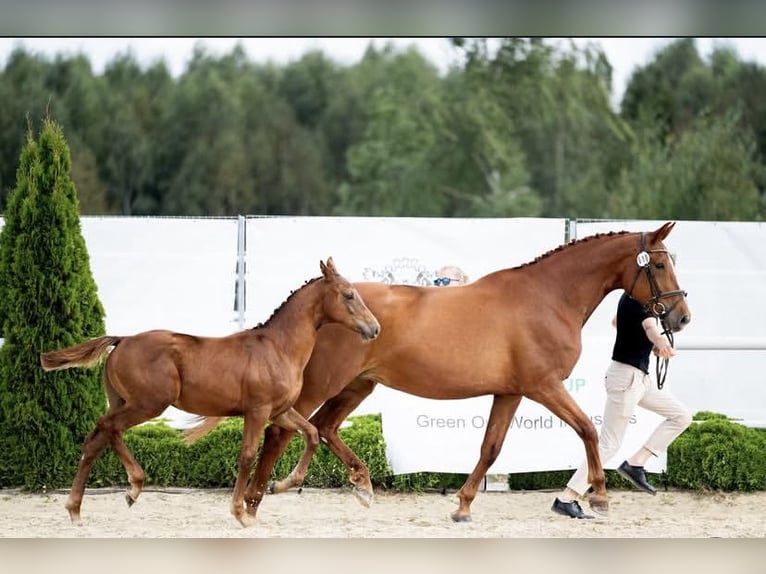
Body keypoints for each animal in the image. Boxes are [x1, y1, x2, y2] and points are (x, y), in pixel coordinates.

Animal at [39, 258, 380, 528]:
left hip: (122, 401)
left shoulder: (281, 410)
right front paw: (240, 512)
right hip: (148, 404)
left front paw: (280, 485)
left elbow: (310, 434)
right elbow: (246, 456)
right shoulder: (257, 411)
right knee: (108, 428)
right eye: (349, 294)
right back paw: (132, 487)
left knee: (96, 440)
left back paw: (76, 509)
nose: (374, 328)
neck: (278, 347)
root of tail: (122, 339)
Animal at [189, 223, 692, 524]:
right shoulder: (544, 386)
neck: (547, 298)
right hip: (323, 382)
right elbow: (588, 429)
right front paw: (600, 497)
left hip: (360, 384)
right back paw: (257, 499)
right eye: (660, 263)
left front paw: (464, 504)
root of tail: (315, 302)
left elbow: (491, 448)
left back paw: (361, 485)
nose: (681, 317)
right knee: (282, 431)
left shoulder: (511, 392)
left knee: (324, 427)